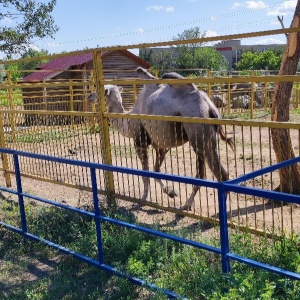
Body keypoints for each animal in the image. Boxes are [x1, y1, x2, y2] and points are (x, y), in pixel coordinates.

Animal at [88, 67, 236, 211]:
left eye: (97, 91)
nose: (89, 96)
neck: (129, 120)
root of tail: (210, 107)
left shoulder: (140, 141)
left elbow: (146, 172)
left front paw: (144, 198)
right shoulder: (161, 146)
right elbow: (156, 170)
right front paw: (170, 191)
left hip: (199, 132)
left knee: (221, 174)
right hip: (204, 137)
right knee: (202, 174)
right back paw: (187, 204)